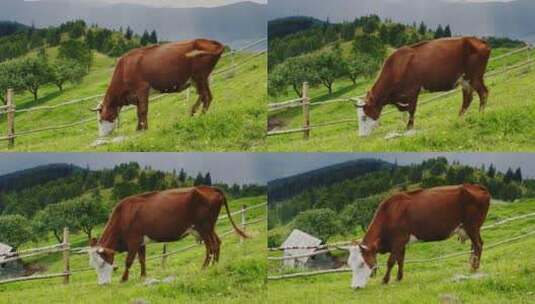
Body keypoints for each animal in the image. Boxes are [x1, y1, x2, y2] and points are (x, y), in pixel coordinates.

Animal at [88, 185, 247, 284]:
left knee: (211, 246)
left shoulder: (133, 240)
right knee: (217, 243)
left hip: (204, 227)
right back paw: (215, 265)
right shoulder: (141, 242)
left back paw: (204, 267)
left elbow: (129, 261)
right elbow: (142, 260)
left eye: (102, 263)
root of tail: (209, 187)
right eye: (93, 266)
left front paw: (123, 279)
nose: (102, 284)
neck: (123, 216)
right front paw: (143, 276)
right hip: (208, 228)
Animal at [91, 39, 224, 137]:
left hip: (199, 76)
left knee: (206, 96)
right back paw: (194, 113)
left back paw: (200, 117)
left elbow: (142, 110)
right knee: (206, 95)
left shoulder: (142, 88)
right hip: (200, 78)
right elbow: (138, 112)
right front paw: (138, 128)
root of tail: (211, 42)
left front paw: (144, 129)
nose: (101, 136)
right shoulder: (136, 96)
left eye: (100, 119)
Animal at [350, 184, 492, 288]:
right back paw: (472, 265)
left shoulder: (398, 240)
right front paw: (399, 278)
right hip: (472, 228)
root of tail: (476, 186)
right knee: (476, 245)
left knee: (478, 245)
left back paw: (474, 268)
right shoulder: (402, 242)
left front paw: (385, 280)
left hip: (472, 225)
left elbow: (391, 261)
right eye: (351, 265)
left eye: (362, 263)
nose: (355, 287)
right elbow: (400, 260)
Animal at [358, 36, 492, 135]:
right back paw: (459, 119)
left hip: (474, 77)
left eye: (364, 116)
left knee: (483, 93)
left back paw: (480, 115)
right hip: (465, 80)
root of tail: (477, 39)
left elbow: (411, 109)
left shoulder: (413, 90)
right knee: (468, 98)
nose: (362, 135)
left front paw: (409, 127)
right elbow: (405, 109)